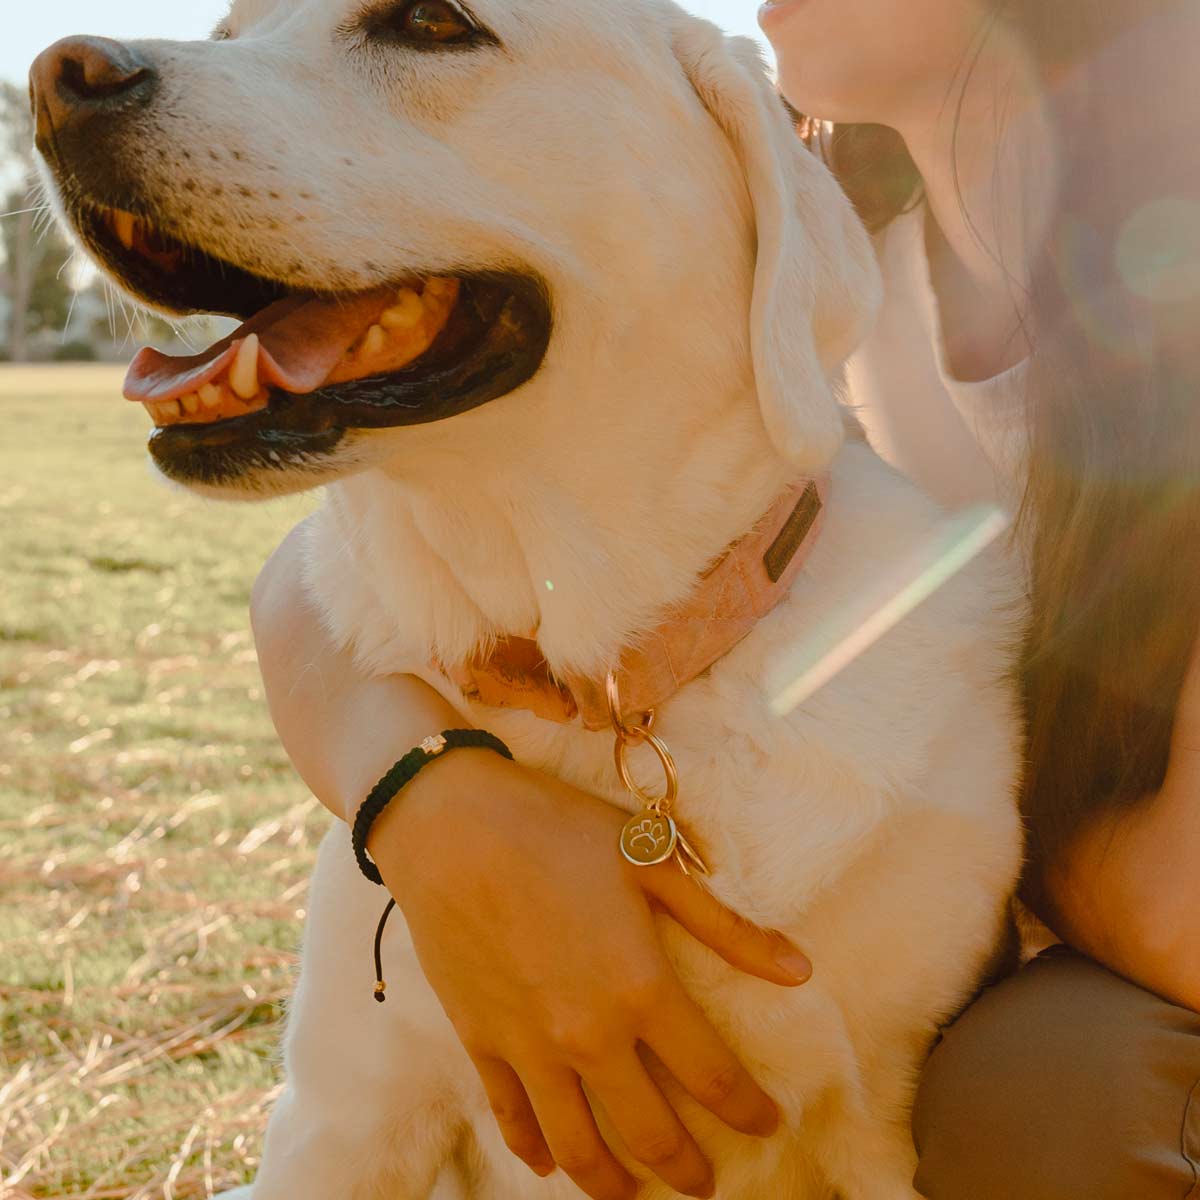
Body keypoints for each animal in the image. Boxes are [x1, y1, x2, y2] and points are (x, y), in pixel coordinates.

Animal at [30, 0, 1022, 1195]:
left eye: (432, 23)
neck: (598, 678)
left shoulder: (881, 1119)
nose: (55, 77)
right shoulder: (346, 1114)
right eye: (229, 30)